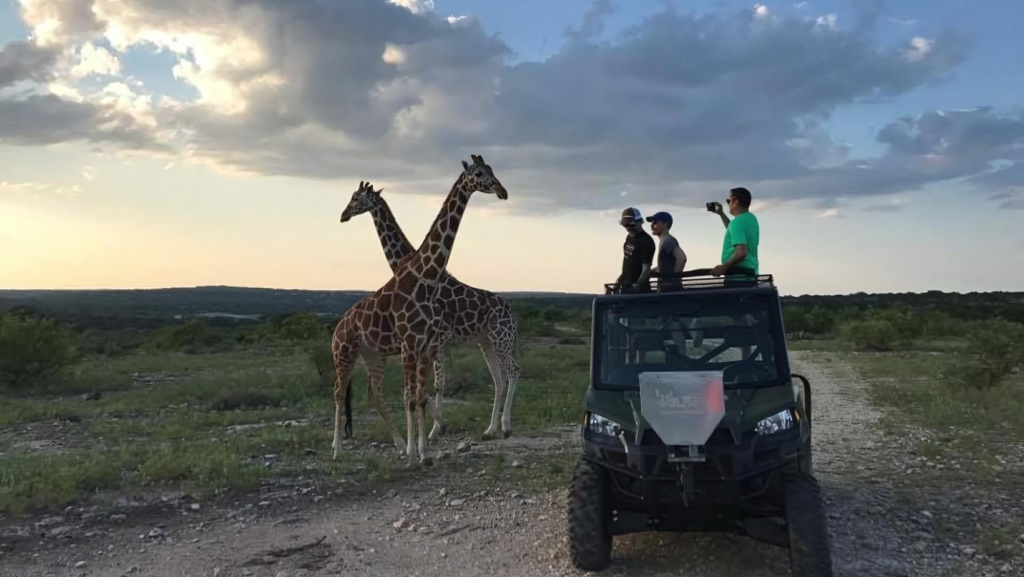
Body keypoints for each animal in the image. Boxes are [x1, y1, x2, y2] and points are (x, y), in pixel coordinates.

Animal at [331, 155, 508, 464]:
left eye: (490, 171)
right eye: (479, 173)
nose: (502, 191)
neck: (423, 275)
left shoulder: (428, 342)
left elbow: (421, 394)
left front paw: (424, 447)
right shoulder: (414, 344)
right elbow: (415, 395)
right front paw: (420, 449)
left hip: (493, 340)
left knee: (508, 376)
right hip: (349, 354)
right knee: (341, 393)